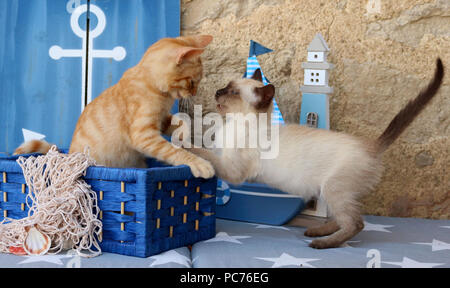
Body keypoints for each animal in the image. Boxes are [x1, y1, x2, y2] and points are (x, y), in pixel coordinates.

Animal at [14, 33, 215, 178]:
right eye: (192, 82)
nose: (195, 93)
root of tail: (70, 154)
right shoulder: (144, 135)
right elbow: (172, 151)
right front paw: (198, 162)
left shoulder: (162, 119)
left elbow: (181, 122)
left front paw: (183, 135)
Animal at [189, 59, 442, 250]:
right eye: (226, 86)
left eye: (232, 93)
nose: (217, 91)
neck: (234, 124)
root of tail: (370, 145)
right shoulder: (221, 155)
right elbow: (205, 148)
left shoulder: (232, 171)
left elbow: (202, 152)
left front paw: (186, 147)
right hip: (328, 192)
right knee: (344, 219)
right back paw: (317, 231)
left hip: (333, 189)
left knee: (356, 223)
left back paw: (322, 243)